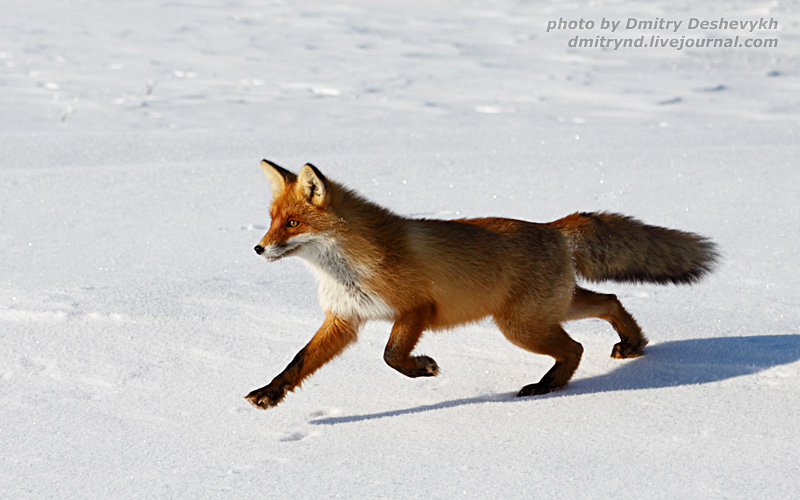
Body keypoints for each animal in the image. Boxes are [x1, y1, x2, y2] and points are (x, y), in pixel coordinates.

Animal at [245, 160, 720, 410]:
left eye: (293, 223)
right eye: (271, 219)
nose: (258, 248)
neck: (346, 267)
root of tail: (552, 228)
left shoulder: (416, 309)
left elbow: (391, 355)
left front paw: (424, 368)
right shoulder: (344, 319)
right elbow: (297, 362)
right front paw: (270, 393)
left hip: (521, 325)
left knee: (576, 346)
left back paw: (546, 388)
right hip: (550, 310)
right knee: (610, 300)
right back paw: (632, 344)